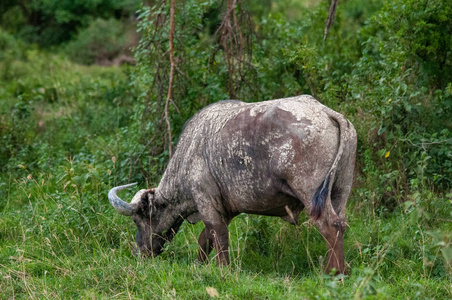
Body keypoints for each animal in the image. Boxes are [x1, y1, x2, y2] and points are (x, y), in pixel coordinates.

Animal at [107, 96, 354, 274]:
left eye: (139, 220)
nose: (139, 252)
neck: (190, 152)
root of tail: (326, 112)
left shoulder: (206, 201)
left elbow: (218, 237)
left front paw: (222, 270)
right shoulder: (224, 209)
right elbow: (205, 238)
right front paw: (200, 265)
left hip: (311, 194)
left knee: (329, 226)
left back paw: (333, 272)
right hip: (339, 191)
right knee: (340, 224)